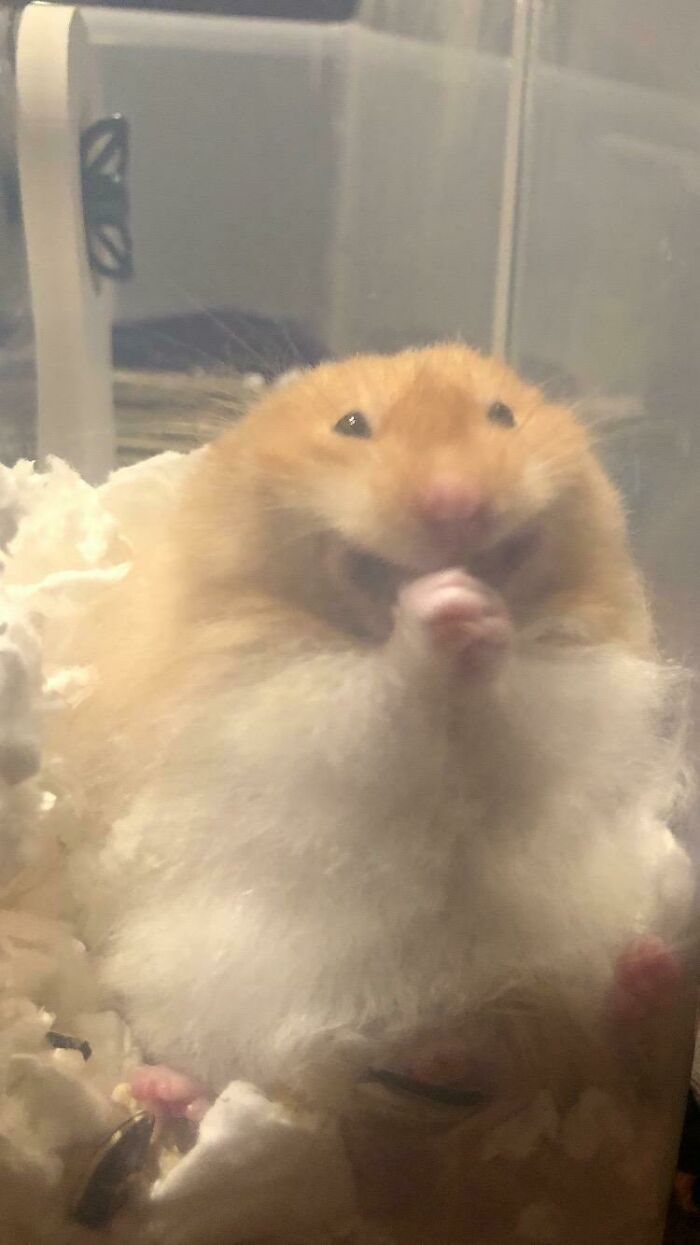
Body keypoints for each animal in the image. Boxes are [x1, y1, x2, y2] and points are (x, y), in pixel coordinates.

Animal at [61, 343, 692, 1118]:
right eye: (352, 424)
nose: (456, 503)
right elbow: (381, 700)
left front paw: (478, 615)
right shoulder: (280, 710)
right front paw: (439, 604)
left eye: (502, 415)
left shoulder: (574, 696)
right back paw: (180, 1091)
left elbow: (514, 716)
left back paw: (646, 973)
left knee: (604, 1039)